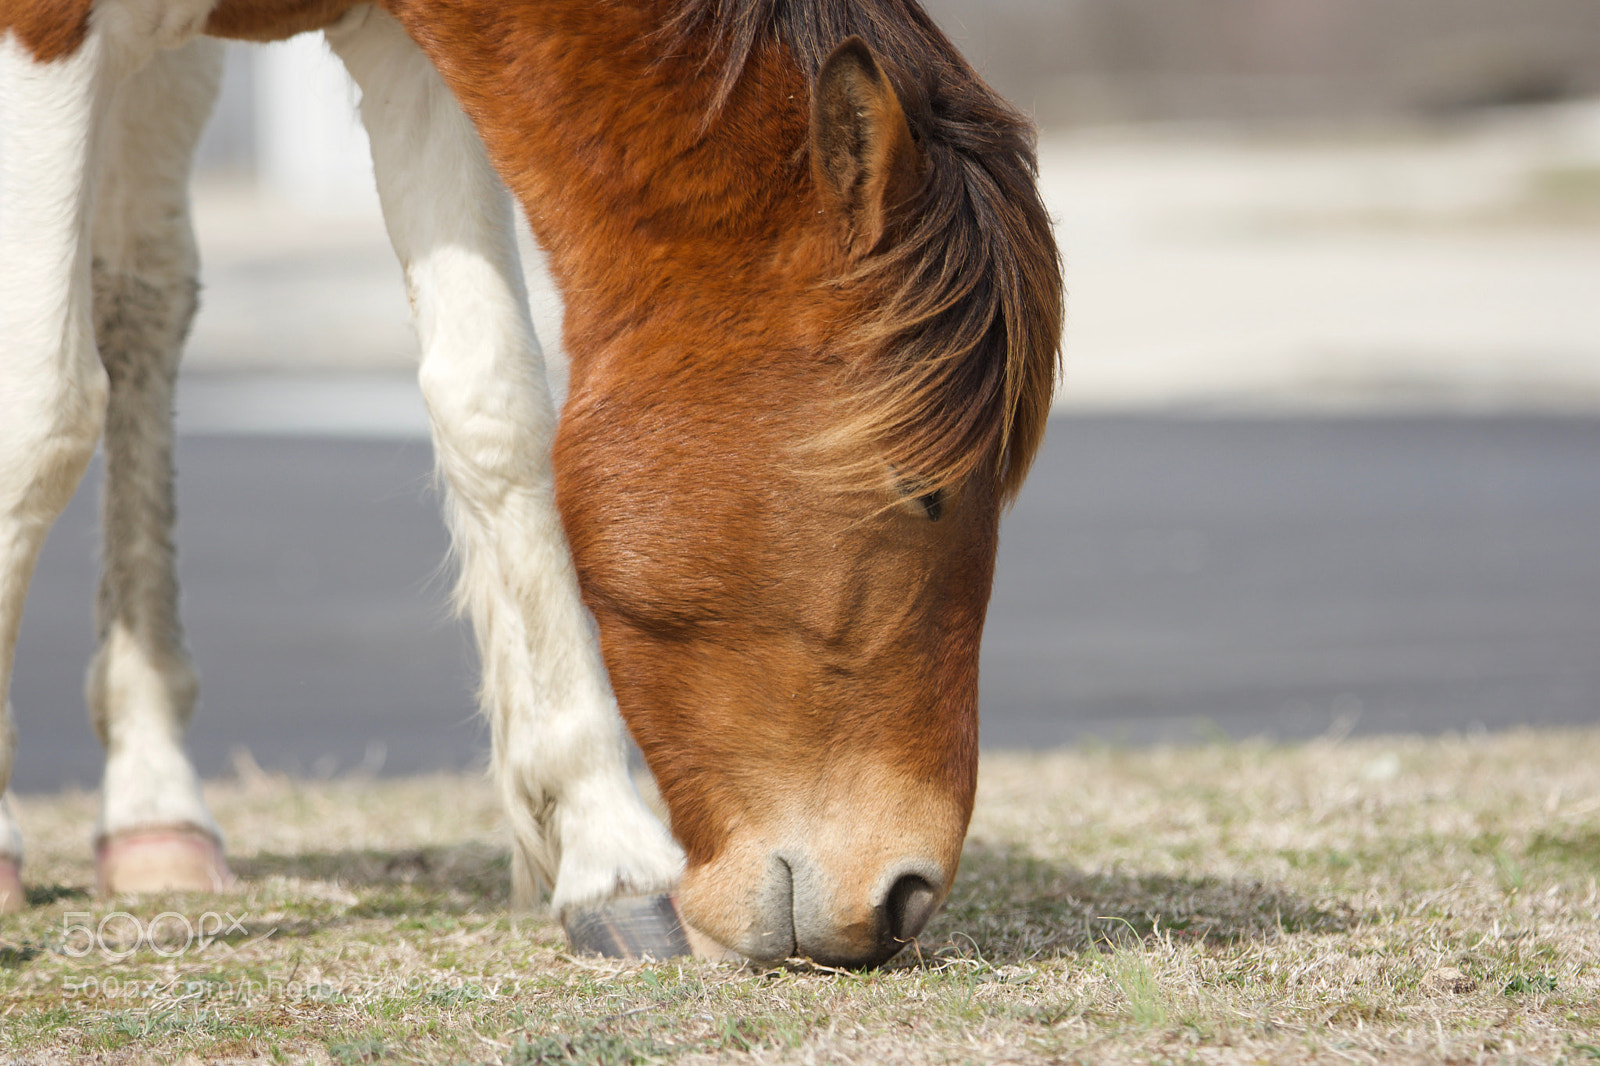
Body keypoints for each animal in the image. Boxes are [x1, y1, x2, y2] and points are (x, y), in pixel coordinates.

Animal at [0, 0, 1061, 967]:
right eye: (922, 486)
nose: (906, 895)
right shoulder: (45, 33)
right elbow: (41, 414)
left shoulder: (406, 47)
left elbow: (492, 400)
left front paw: (608, 853)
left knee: (141, 292)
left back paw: (154, 808)